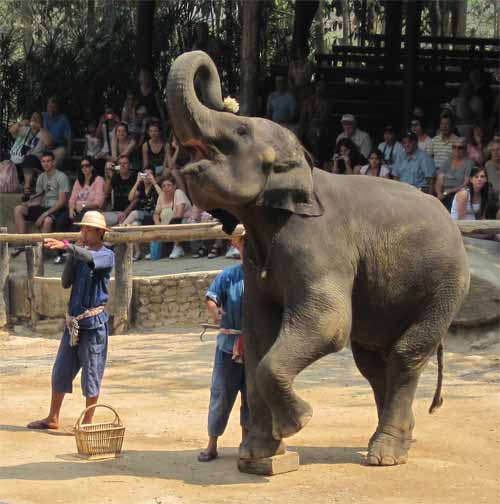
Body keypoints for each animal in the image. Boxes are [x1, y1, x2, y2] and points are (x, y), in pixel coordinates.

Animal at [166, 51, 470, 464]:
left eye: (241, 131)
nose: (224, 97)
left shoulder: (318, 246)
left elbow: (328, 324)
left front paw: (299, 423)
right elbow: (257, 332)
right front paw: (258, 458)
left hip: (446, 286)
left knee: (405, 353)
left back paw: (383, 455)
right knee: (373, 362)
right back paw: (396, 442)